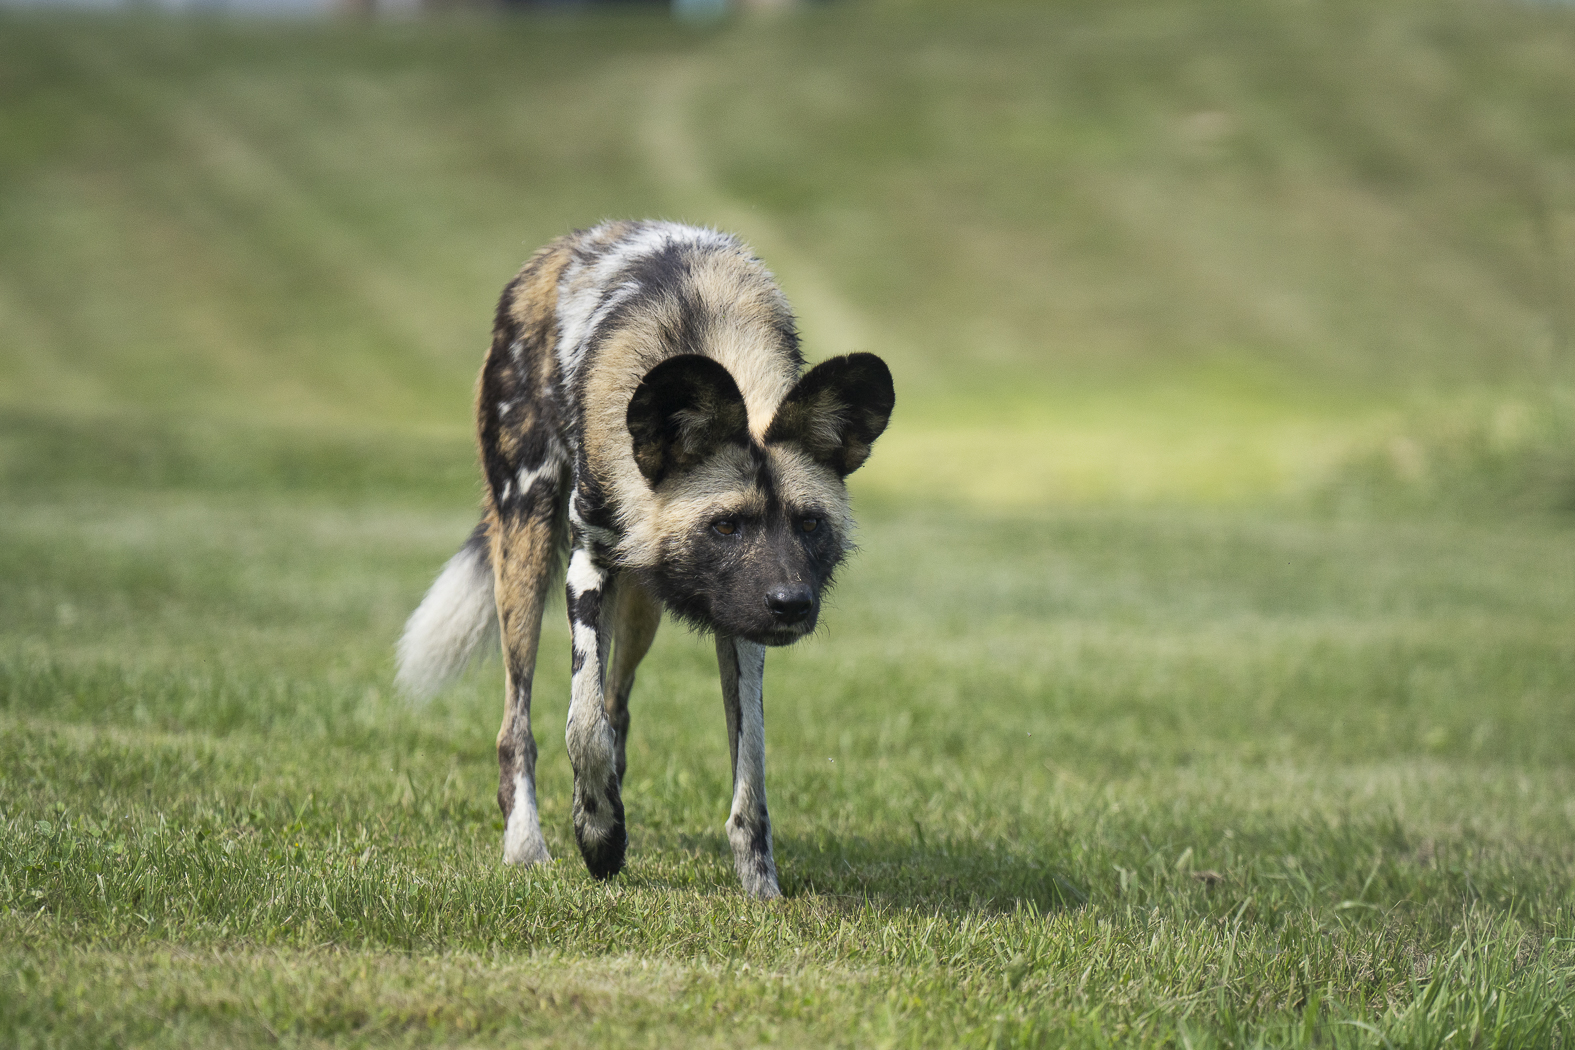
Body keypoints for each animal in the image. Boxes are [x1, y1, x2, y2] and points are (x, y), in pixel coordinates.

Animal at [393, 220, 894, 894]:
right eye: (726, 525)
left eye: (809, 523)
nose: (792, 605)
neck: (702, 329)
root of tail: (555, 250)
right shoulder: (588, 568)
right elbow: (581, 728)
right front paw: (598, 836)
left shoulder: (740, 620)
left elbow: (750, 767)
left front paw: (761, 888)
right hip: (528, 541)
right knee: (519, 725)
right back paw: (529, 844)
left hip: (640, 607)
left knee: (617, 708)